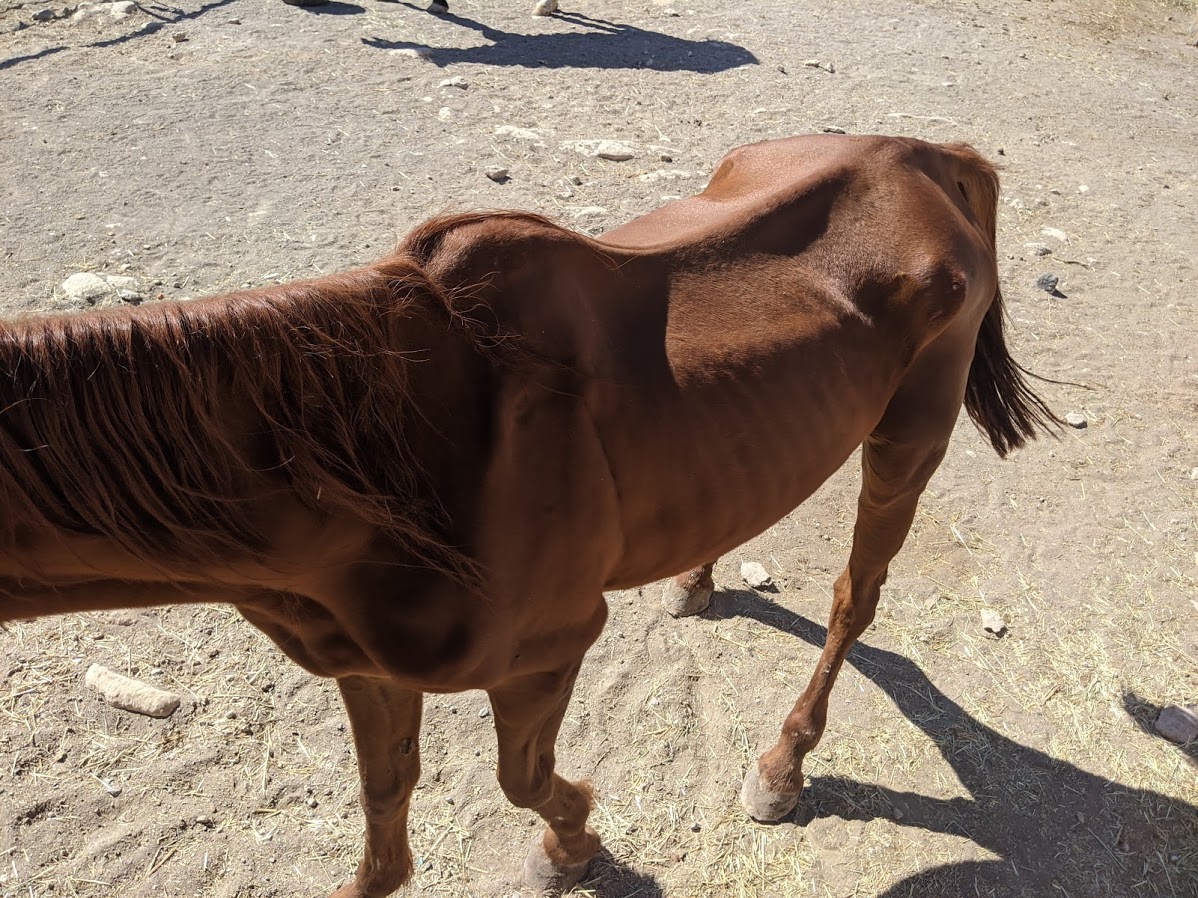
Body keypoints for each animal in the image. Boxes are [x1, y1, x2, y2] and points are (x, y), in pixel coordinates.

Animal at [0, 134, 1058, 897]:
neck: (397, 449)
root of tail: (930, 160)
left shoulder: (546, 652)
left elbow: (524, 781)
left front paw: (572, 848)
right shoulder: (366, 665)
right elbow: (383, 824)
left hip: (907, 445)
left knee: (853, 601)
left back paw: (784, 765)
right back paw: (696, 580)